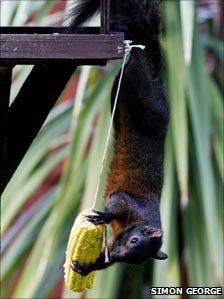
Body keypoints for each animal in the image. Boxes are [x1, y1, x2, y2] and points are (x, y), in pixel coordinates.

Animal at [69, 0, 169, 276]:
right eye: (135, 240)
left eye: (135, 260)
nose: (117, 256)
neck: (142, 220)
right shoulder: (128, 202)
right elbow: (116, 202)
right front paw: (104, 217)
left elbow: (103, 259)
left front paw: (86, 267)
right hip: (141, 98)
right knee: (133, 72)